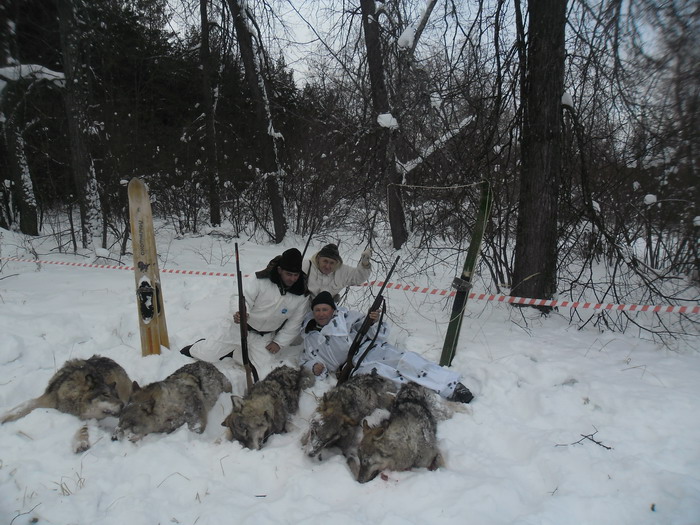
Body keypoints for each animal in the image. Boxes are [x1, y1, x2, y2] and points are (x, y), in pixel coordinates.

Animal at [1, 354, 133, 452]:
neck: (72, 398)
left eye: (116, 395)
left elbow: (82, 430)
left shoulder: (87, 419)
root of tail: (109, 359)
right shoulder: (44, 400)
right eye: (105, 394)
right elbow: (21, 408)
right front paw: (3, 418)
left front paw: (80, 443)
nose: (123, 405)